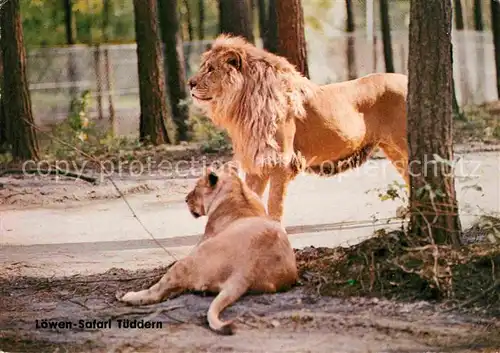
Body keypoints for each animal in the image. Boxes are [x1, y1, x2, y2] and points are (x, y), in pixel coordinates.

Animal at [116, 165, 296, 332]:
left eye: (196, 188)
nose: (185, 199)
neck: (238, 192)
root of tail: (246, 270)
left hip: (186, 262)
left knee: (158, 291)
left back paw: (129, 296)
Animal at [189, 36, 408, 223]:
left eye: (210, 69)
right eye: (204, 67)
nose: (190, 83)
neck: (244, 106)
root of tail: (406, 78)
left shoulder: (281, 162)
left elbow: (274, 203)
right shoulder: (257, 162)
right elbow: (251, 198)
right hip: (392, 149)